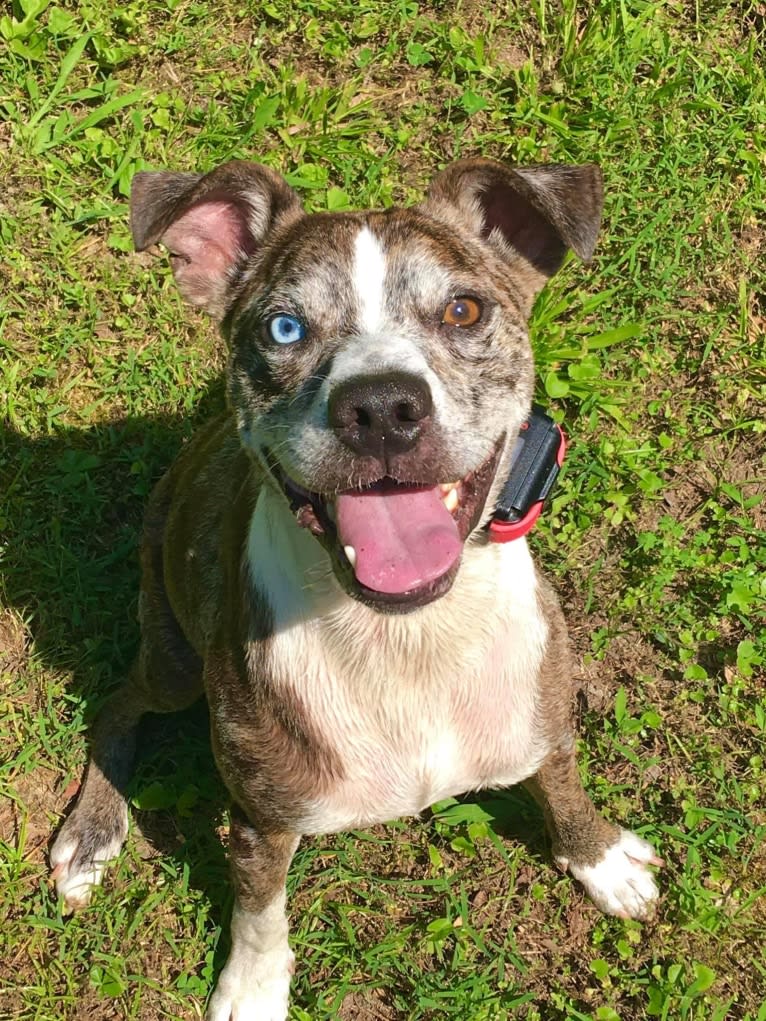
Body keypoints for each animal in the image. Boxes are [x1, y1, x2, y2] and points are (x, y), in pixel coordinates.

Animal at [51, 155, 661, 1016]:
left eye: (464, 310)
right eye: (284, 328)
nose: (380, 405)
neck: (408, 637)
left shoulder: (545, 718)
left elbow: (564, 784)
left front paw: (600, 858)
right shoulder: (261, 819)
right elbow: (259, 910)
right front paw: (252, 988)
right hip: (174, 657)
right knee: (120, 700)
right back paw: (91, 832)